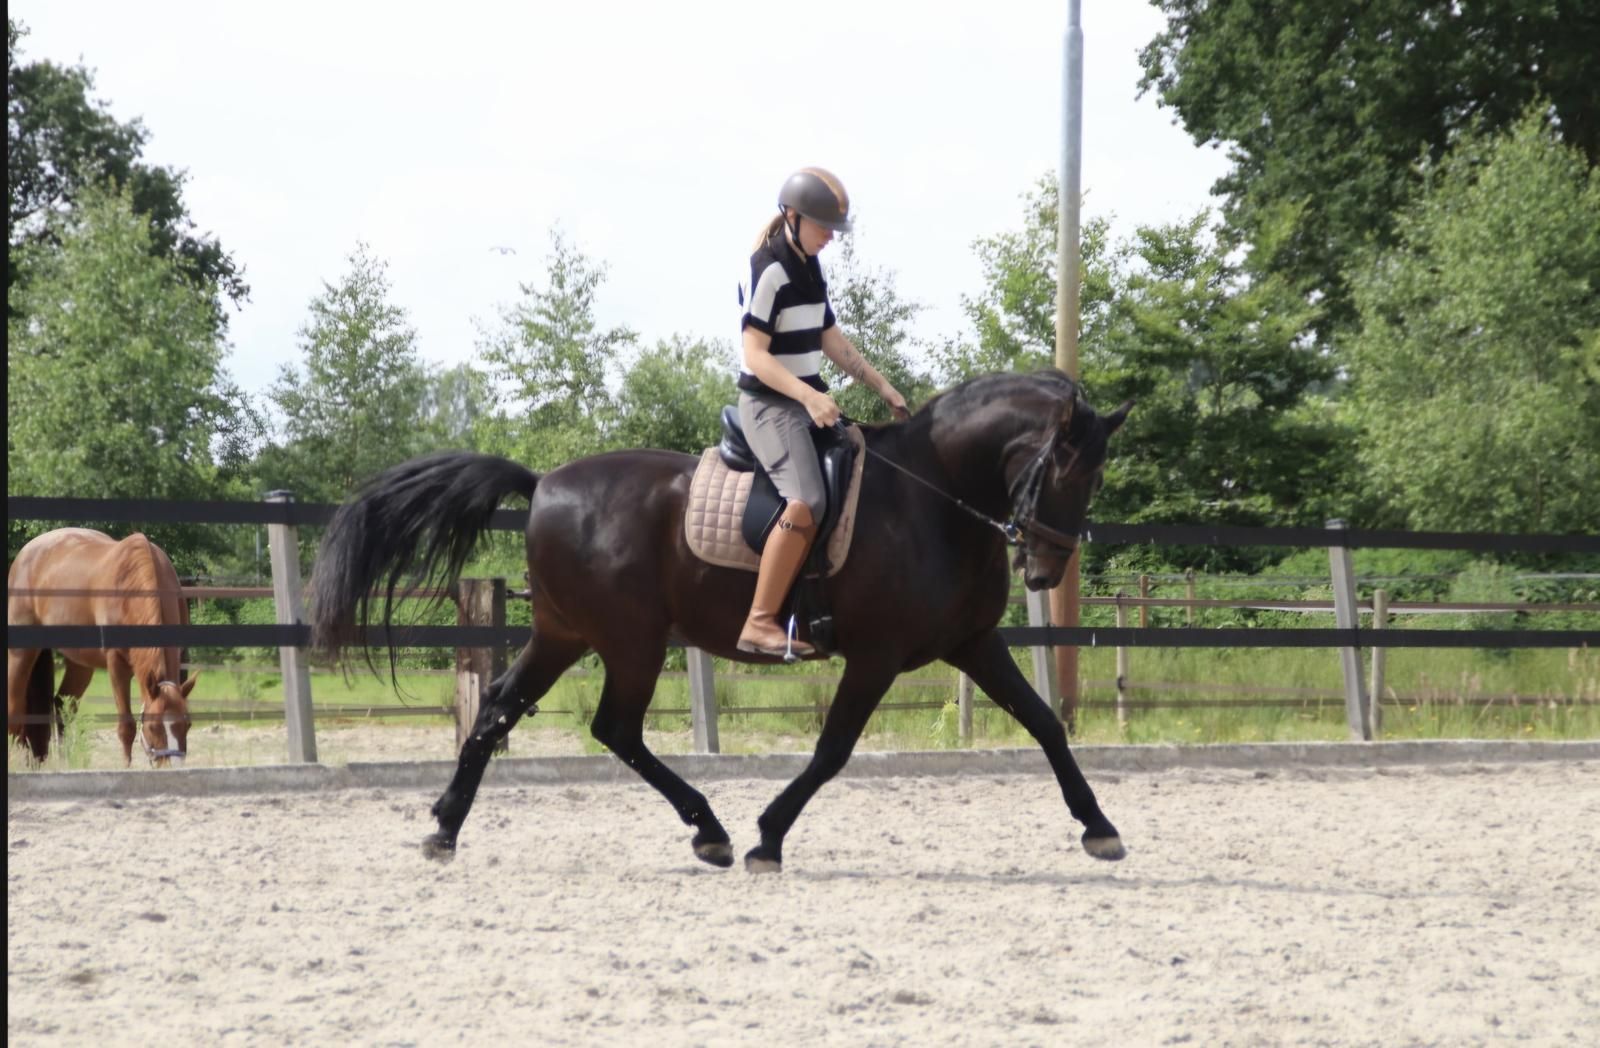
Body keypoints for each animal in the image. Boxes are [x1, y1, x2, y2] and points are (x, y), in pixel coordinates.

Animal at [7, 528, 195, 766]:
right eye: (153, 727)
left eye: (187, 724)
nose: (171, 768)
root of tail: (25, 553)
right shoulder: (116, 665)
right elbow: (126, 727)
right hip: (21, 652)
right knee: (15, 708)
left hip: (80, 662)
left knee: (61, 705)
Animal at [310, 370, 1131, 872]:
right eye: (1064, 469)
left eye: (1096, 475)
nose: (1045, 571)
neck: (930, 497)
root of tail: (542, 483)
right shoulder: (876, 656)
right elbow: (832, 751)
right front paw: (770, 836)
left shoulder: (973, 644)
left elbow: (1045, 724)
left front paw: (1099, 827)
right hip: (631, 641)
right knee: (615, 729)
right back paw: (712, 831)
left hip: (565, 635)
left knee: (501, 709)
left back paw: (446, 826)